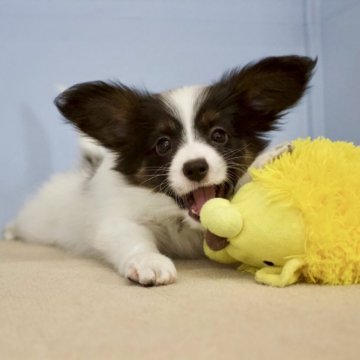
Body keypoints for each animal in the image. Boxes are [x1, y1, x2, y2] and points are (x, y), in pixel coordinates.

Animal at [4, 55, 316, 286]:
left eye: (219, 135)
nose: (195, 167)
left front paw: (265, 160)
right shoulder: (118, 222)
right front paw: (149, 262)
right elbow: (134, 240)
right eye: (163, 144)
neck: (183, 221)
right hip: (37, 221)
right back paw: (8, 232)